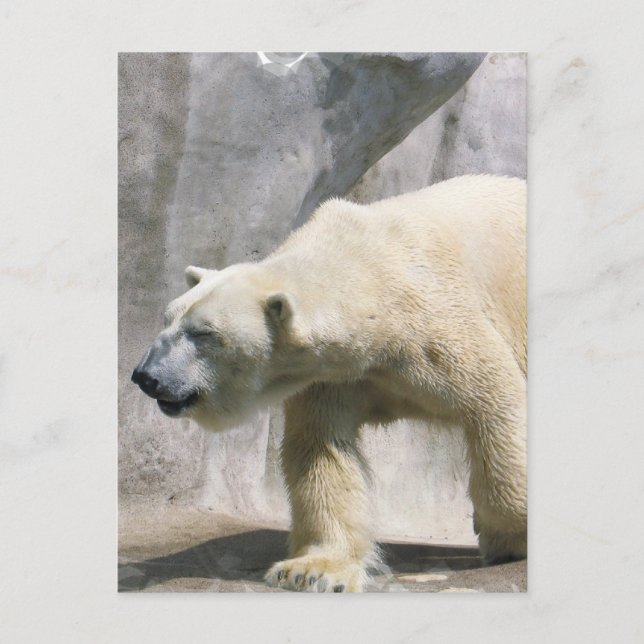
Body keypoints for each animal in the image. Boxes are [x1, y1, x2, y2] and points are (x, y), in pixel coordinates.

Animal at [132, 174, 527, 592]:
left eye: (203, 333)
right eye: (167, 318)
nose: (146, 376)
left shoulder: (437, 331)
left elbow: (496, 403)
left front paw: (508, 539)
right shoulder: (331, 374)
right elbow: (321, 450)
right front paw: (311, 570)